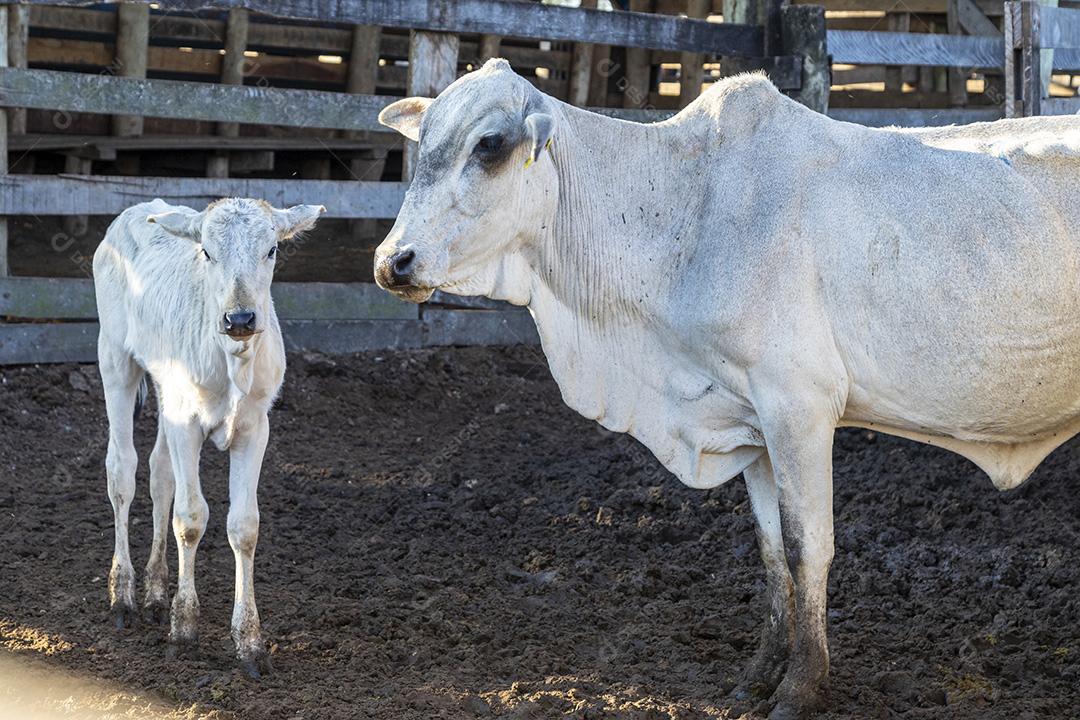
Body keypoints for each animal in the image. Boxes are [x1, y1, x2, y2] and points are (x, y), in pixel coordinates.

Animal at [93, 197, 324, 677]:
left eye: (272, 250)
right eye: (206, 252)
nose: (239, 318)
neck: (233, 363)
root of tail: (139, 208)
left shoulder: (255, 426)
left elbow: (244, 526)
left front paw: (250, 643)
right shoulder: (186, 422)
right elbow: (191, 518)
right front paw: (184, 631)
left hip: (166, 387)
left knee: (160, 474)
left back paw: (155, 594)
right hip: (115, 358)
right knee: (122, 471)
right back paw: (123, 596)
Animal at [372, 59, 1080, 718]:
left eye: (489, 144)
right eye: (424, 142)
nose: (391, 262)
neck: (684, 214)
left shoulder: (799, 407)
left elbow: (807, 545)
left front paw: (801, 687)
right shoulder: (755, 424)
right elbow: (771, 551)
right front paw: (758, 676)